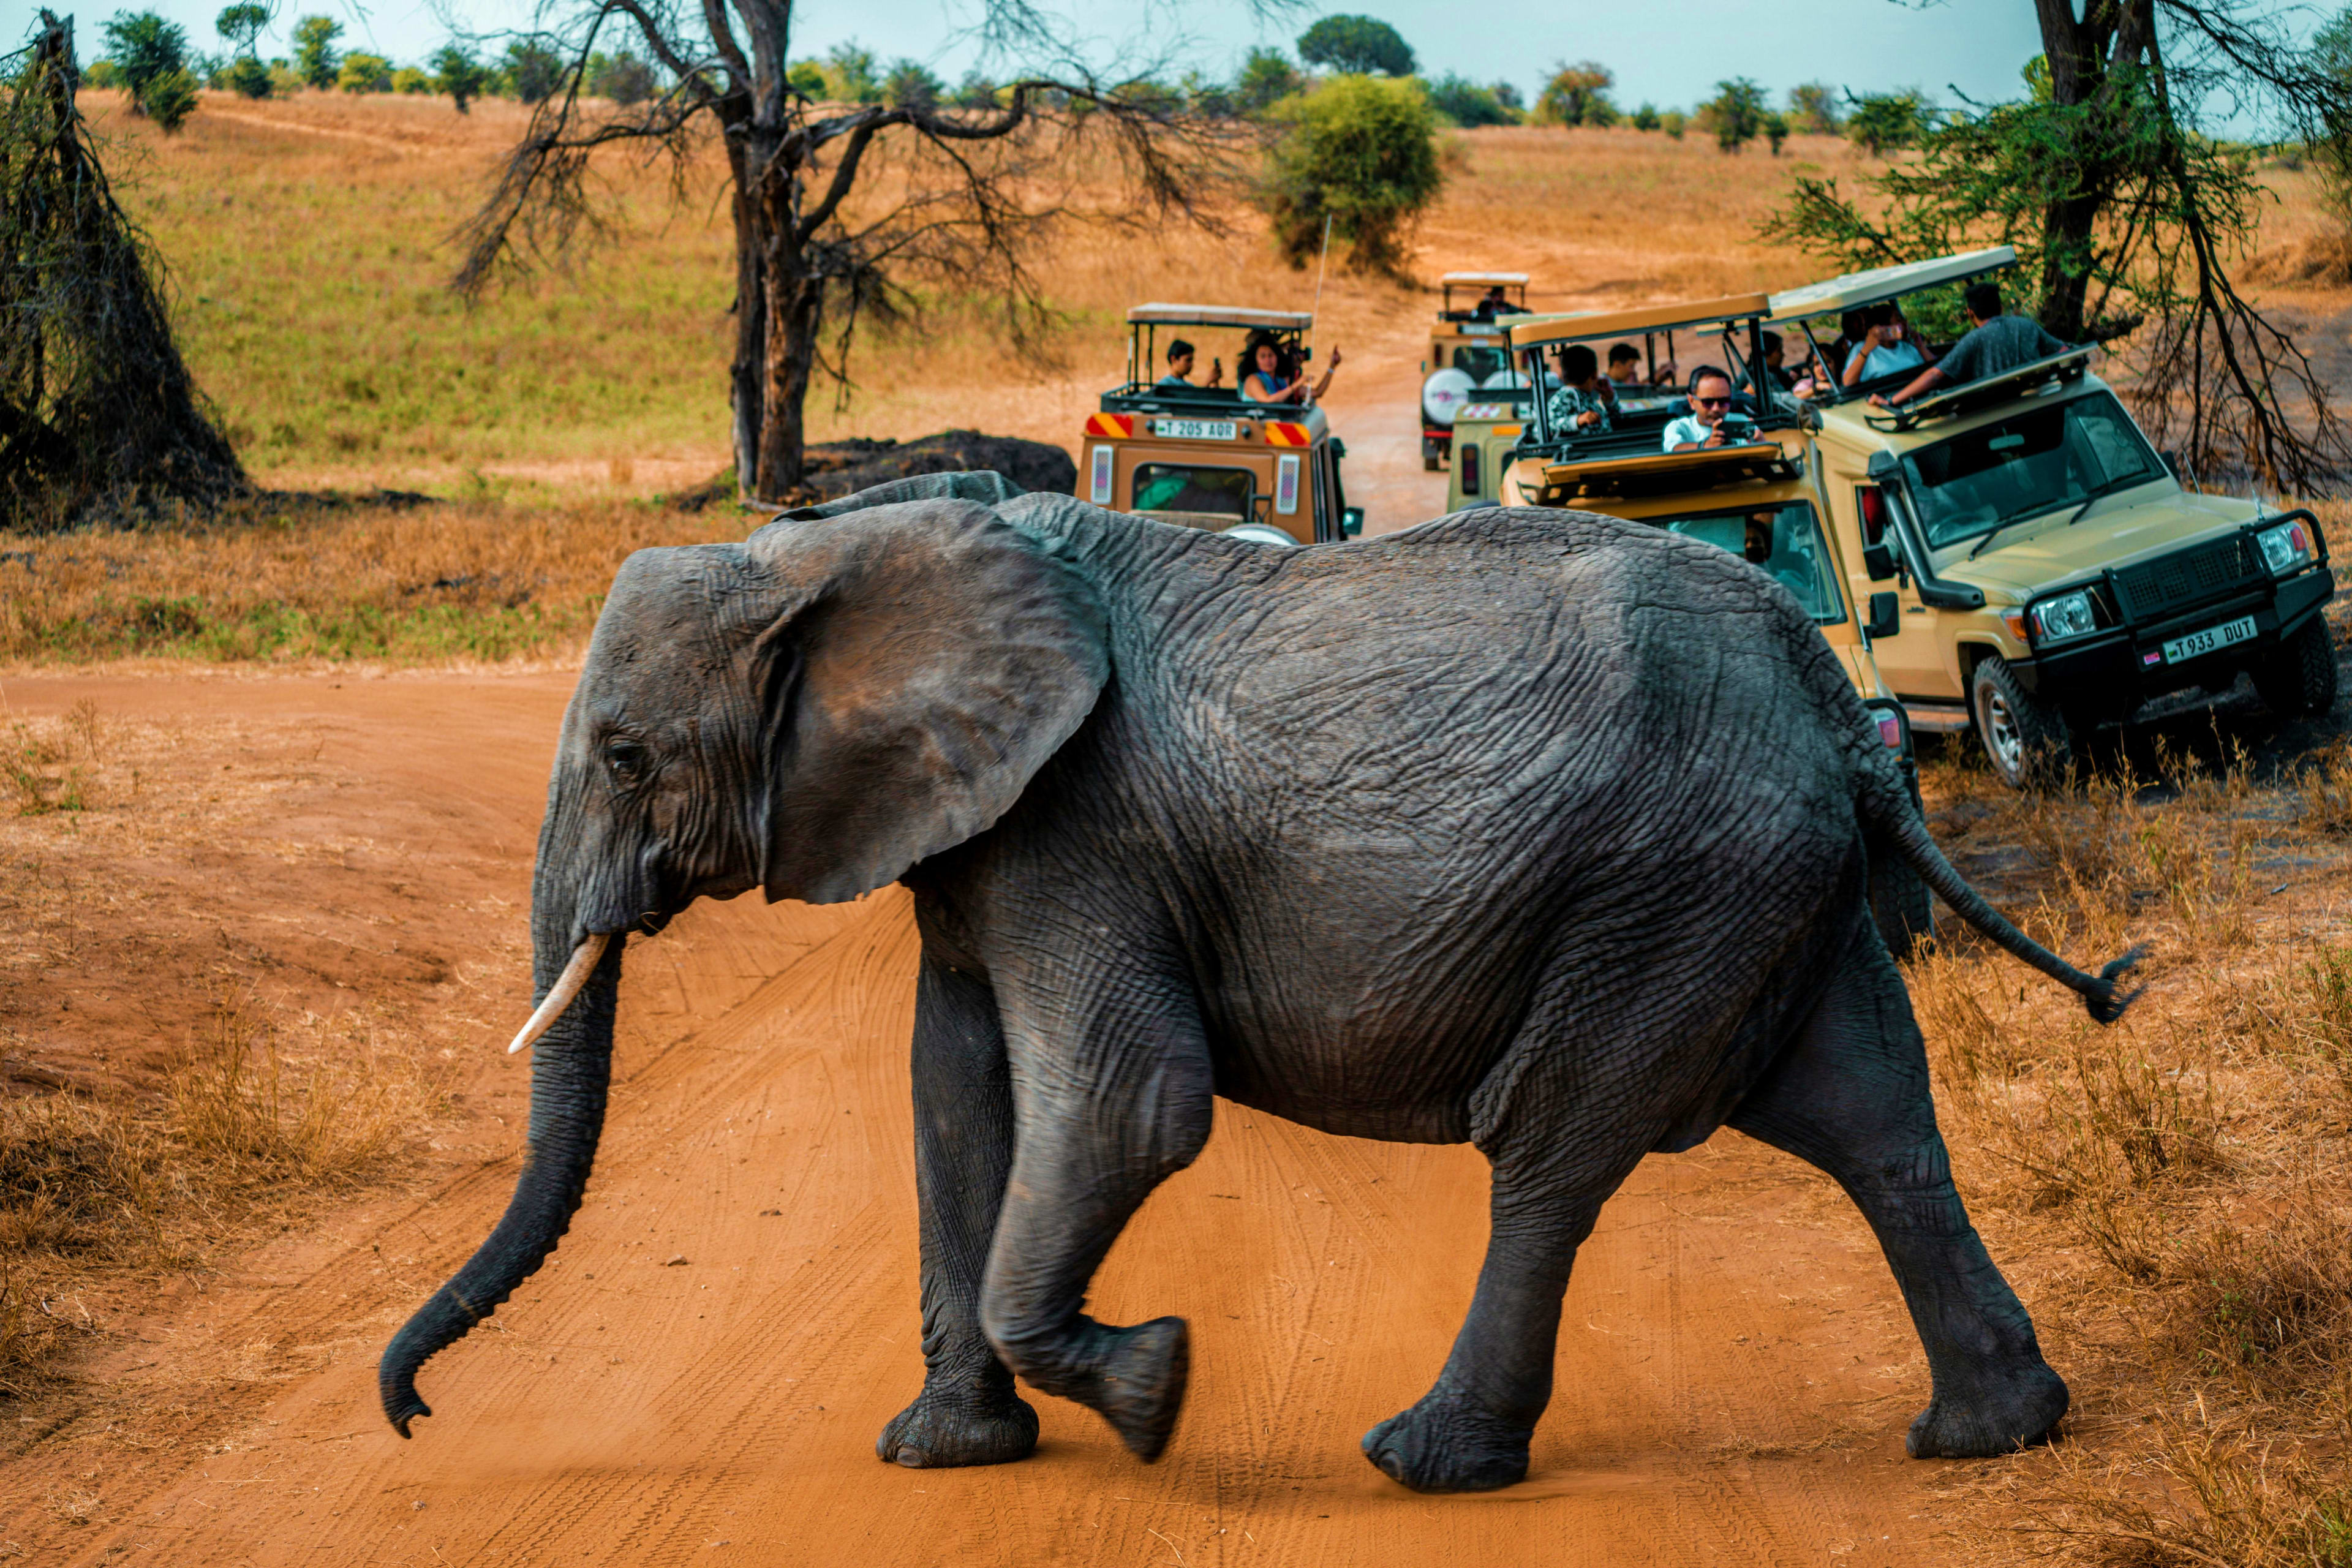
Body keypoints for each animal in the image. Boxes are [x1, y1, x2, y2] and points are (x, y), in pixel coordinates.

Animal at [379, 473, 2142, 1493]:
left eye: (626, 756)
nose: (408, 1417)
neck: (840, 548)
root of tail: (1839, 703)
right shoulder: (981, 835)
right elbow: (953, 1099)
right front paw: (943, 1456)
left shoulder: (1081, 824)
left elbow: (1128, 1107)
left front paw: (1152, 1390)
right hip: (1768, 882)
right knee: (1875, 1119)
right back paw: (1998, 1433)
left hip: (1670, 884)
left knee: (1555, 1142)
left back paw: (1427, 1461)